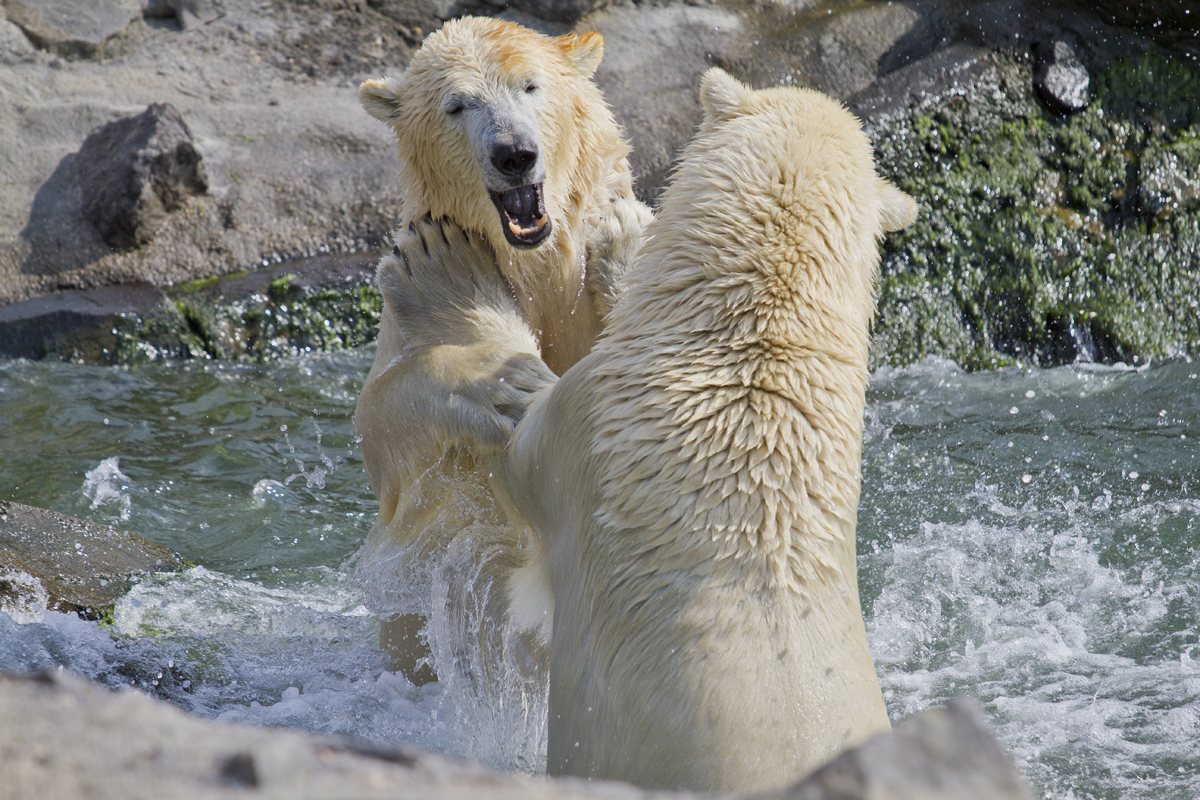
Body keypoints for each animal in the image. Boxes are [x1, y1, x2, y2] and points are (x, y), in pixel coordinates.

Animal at [355, 15, 652, 681]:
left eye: (531, 86)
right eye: (457, 105)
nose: (514, 154)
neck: (537, 266)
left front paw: (624, 244)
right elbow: (381, 421)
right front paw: (500, 379)